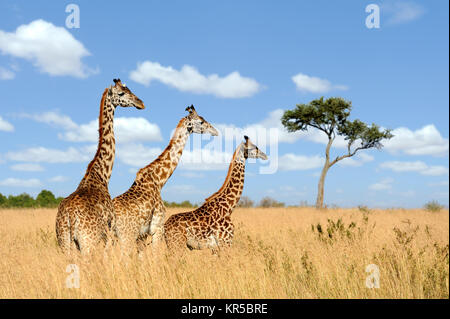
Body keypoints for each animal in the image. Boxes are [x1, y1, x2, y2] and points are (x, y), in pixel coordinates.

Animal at [55, 79, 145, 256]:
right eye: (121, 93)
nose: (141, 103)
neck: (101, 175)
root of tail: (70, 217)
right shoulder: (110, 231)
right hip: (87, 242)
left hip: (64, 242)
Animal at [112, 106, 218, 254]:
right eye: (201, 121)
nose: (215, 131)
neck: (159, 180)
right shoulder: (157, 228)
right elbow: (155, 255)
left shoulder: (142, 235)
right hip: (126, 235)